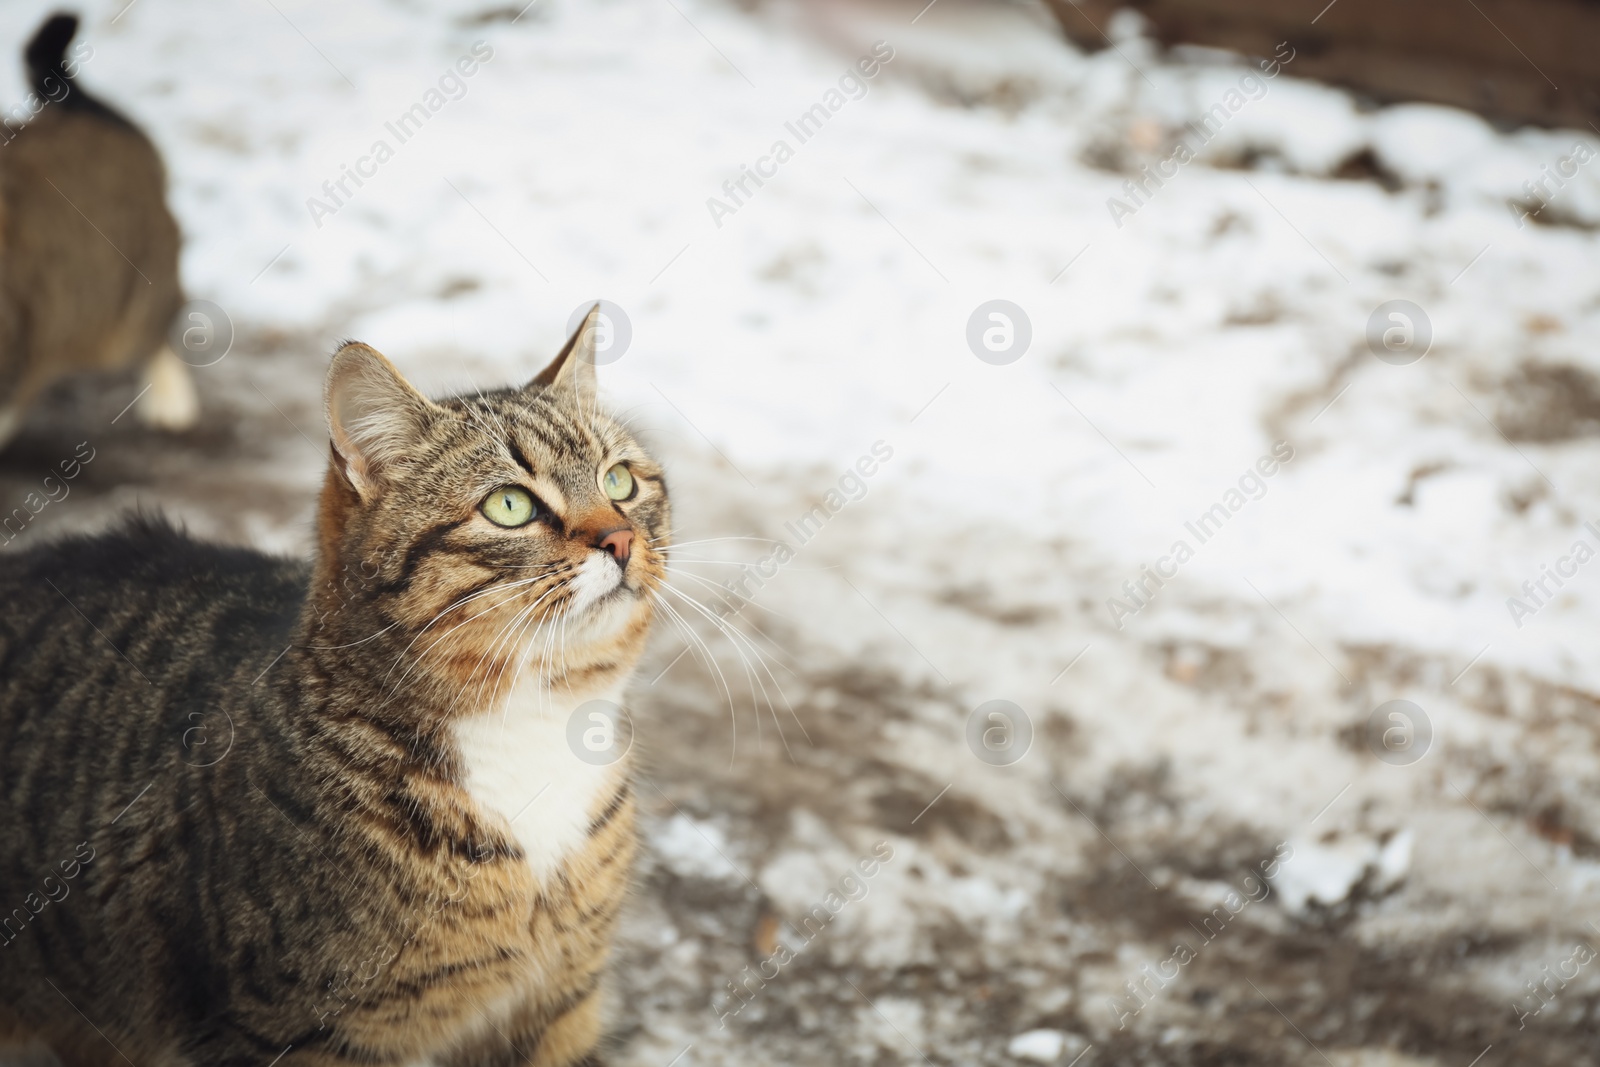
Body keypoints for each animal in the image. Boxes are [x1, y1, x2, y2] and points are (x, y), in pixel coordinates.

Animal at [0, 303, 668, 1062]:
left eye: (620, 482)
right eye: (509, 505)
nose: (620, 539)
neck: (532, 722)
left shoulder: (560, 1004)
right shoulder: (304, 1030)